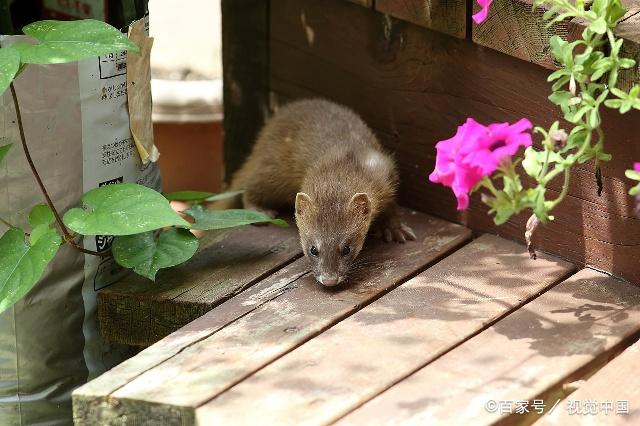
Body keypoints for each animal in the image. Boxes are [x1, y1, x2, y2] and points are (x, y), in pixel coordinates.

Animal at [225, 99, 416, 286]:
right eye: (313, 249)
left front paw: (395, 229)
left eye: (347, 248)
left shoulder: (386, 173)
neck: (343, 163)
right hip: (272, 172)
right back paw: (260, 212)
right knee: (249, 187)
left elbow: (391, 206)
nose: (329, 280)